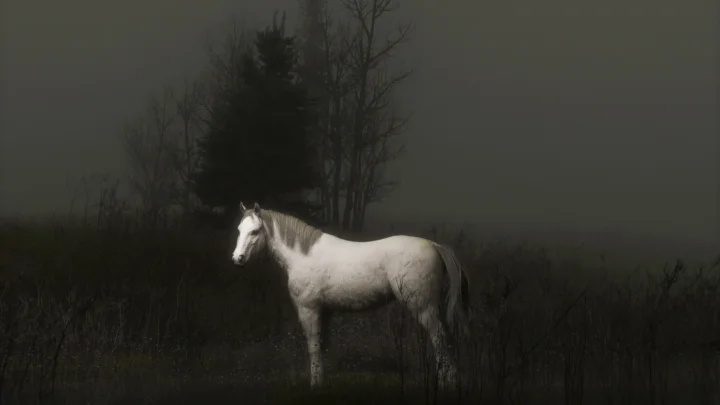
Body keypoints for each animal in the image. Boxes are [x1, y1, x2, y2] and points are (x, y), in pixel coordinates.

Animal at [231, 202, 470, 389]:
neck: (303, 254)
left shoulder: (309, 309)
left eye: (255, 231)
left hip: (423, 308)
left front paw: (315, 385)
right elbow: (322, 346)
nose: (237, 259)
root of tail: (435, 245)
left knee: (440, 340)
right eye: (239, 229)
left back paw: (447, 383)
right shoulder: (324, 312)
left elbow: (313, 347)